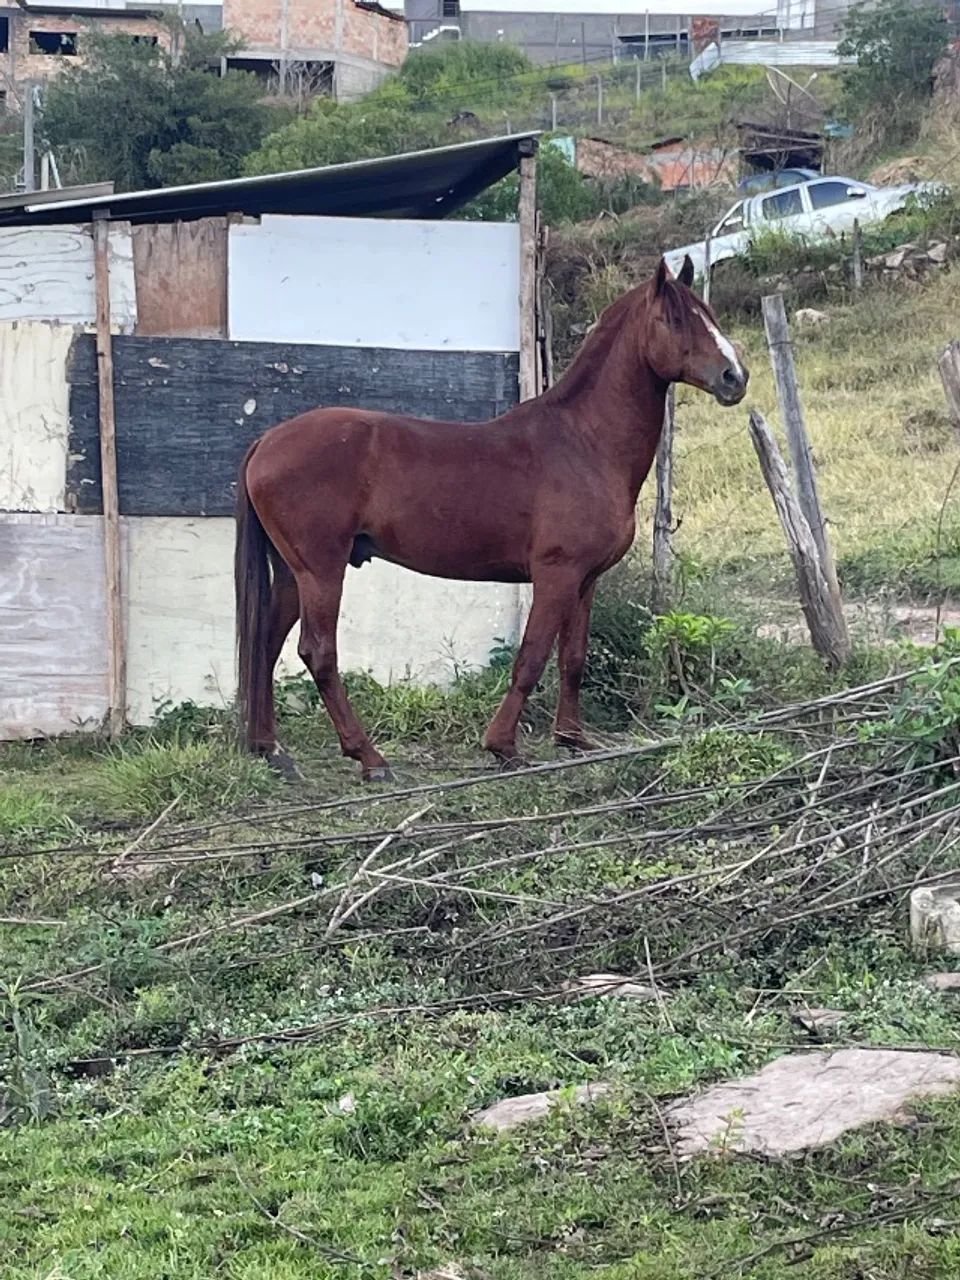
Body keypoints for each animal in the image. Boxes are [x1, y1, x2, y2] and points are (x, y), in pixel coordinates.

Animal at [235, 255, 748, 782]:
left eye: (708, 314)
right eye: (676, 319)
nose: (735, 377)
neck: (584, 442)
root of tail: (267, 440)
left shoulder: (585, 580)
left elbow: (573, 659)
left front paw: (573, 740)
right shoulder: (556, 575)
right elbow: (532, 658)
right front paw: (503, 746)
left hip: (293, 573)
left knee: (266, 644)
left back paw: (271, 749)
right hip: (322, 572)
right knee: (318, 653)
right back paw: (369, 757)